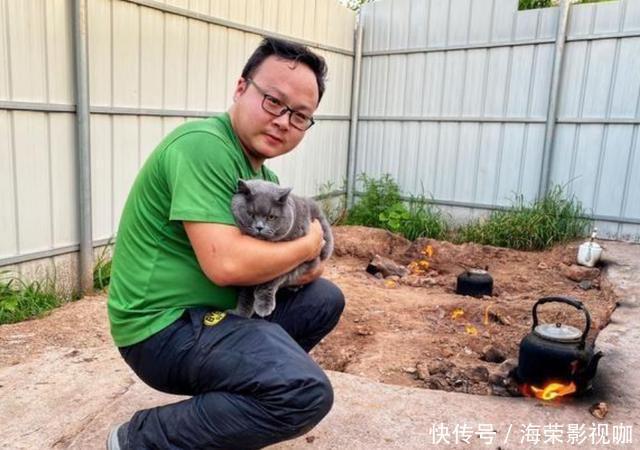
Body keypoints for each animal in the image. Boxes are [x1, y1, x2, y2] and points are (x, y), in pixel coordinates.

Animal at [230, 178, 332, 318]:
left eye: (271, 217)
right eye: (250, 214)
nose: (259, 227)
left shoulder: (297, 262)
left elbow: (270, 281)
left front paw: (263, 305)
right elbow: (247, 291)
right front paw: (241, 313)